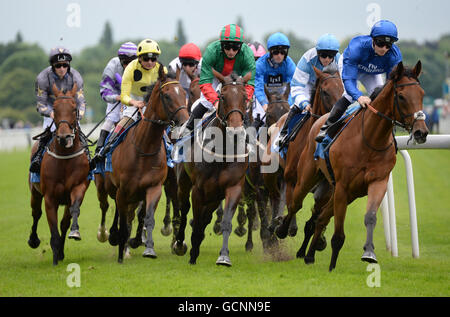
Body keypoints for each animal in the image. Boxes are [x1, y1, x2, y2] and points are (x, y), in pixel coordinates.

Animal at [27, 83, 90, 264]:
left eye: (74, 108)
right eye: (54, 108)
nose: (63, 137)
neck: (65, 158)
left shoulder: (77, 187)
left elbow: (71, 214)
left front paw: (74, 233)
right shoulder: (50, 196)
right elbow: (52, 226)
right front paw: (55, 257)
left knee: (63, 221)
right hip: (35, 192)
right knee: (36, 213)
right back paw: (33, 240)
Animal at [103, 64, 188, 262]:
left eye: (184, 93)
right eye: (167, 96)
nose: (185, 120)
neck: (143, 148)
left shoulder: (154, 187)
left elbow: (147, 217)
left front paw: (147, 248)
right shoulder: (123, 190)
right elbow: (123, 220)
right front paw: (122, 250)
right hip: (112, 188)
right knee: (119, 212)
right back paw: (116, 238)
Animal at [173, 70, 251, 266]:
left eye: (245, 97)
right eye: (222, 96)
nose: (236, 131)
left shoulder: (232, 188)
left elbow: (225, 223)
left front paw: (223, 256)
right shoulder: (198, 190)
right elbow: (195, 221)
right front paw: (192, 254)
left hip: (214, 195)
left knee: (206, 217)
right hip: (184, 183)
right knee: (184, 209)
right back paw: (180, 244)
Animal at [274, 60, 428, 270]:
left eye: (422, 94)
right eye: (402, 96)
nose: (422, 132)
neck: (370, 139)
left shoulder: (377, 182)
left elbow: (370, 216)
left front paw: (369, 252)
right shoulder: (342, 186)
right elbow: (338, 231)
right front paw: (332, 265)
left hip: (344, 192)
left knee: (321, 217)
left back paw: (309, 254)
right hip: (308, 178)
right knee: (295, 204)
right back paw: (282, 229)